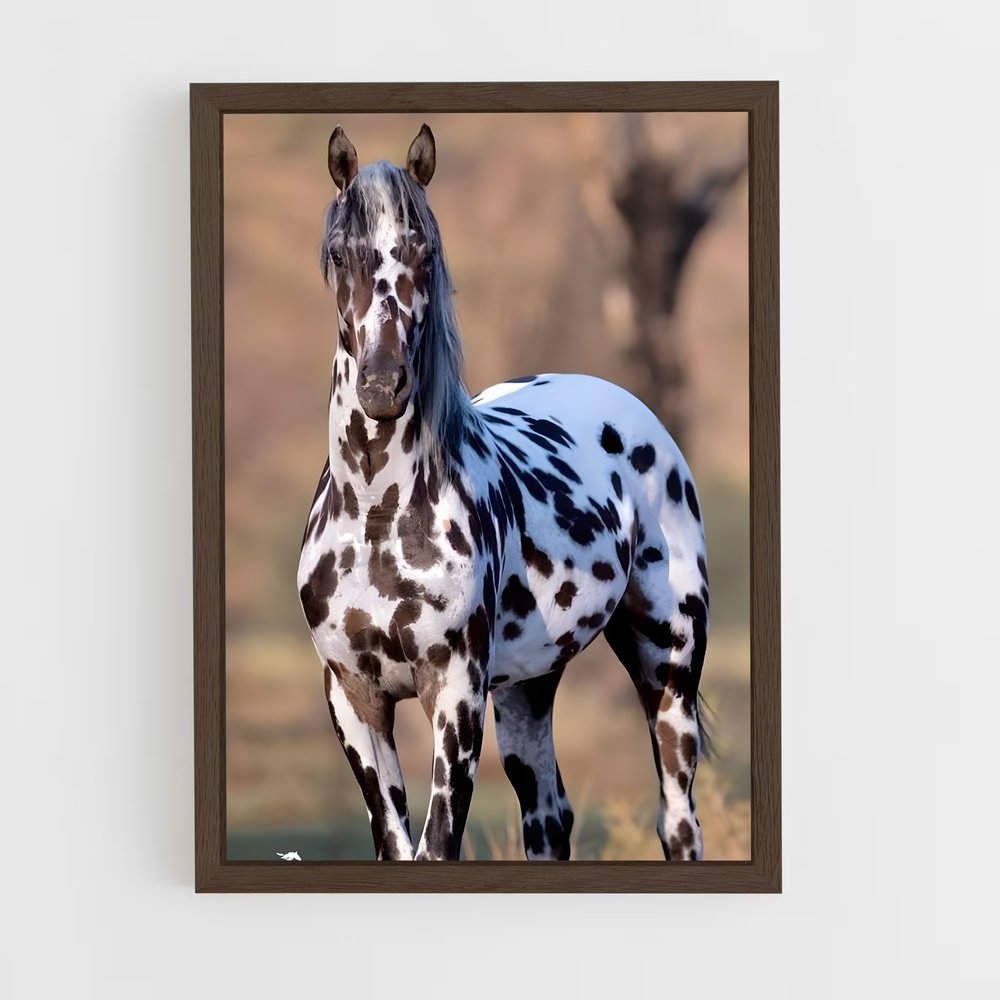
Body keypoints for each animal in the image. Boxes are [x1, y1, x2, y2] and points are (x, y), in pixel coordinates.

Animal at [297, 124, 710, 861]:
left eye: (425, 250)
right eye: (340, 252)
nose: (382, 385)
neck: (377, 518)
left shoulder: (455, 694)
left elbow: (436, 845)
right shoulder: (353, 697)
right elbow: (396, 844)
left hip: (669, 667)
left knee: (677, 819)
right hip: (528, 687)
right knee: (548, 817)